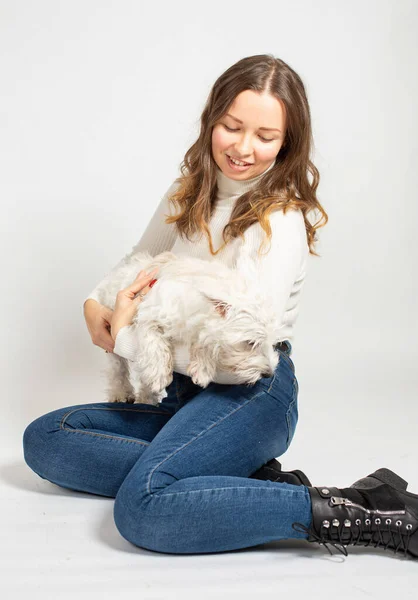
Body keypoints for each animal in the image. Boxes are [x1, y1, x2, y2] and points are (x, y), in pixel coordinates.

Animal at [93, 251, 282, 406]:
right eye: (250, 343)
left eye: (273, 343)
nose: (269, 374)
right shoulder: (148, 314)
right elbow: (154, 344)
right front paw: (159, 375)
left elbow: (206, 341)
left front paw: (203, 369)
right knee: (117, 369)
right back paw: (121, 394)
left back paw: (146, 399)